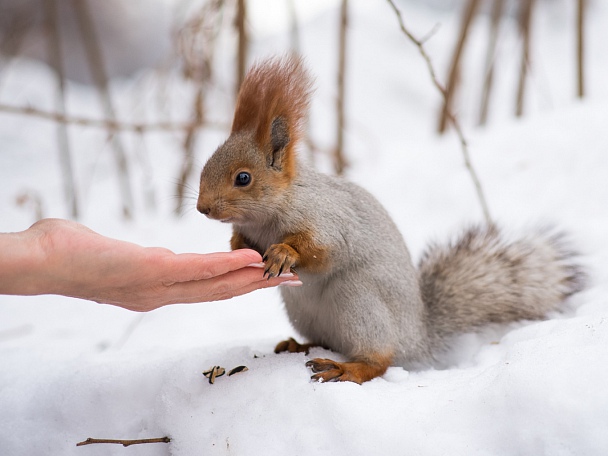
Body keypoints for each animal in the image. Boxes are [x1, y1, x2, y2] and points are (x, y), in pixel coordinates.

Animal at [197, 57, 588, 384]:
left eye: (243, 178)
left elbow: (323, 250)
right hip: (305, 312)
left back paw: (346, 368)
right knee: (326, 341)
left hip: (358, 299)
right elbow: (242, 240)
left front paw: (284, 253)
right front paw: (236, 246)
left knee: (379, 360)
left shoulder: (329, 219)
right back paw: (299, 346)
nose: (202, 208)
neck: (267, 216)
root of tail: (417, 336)